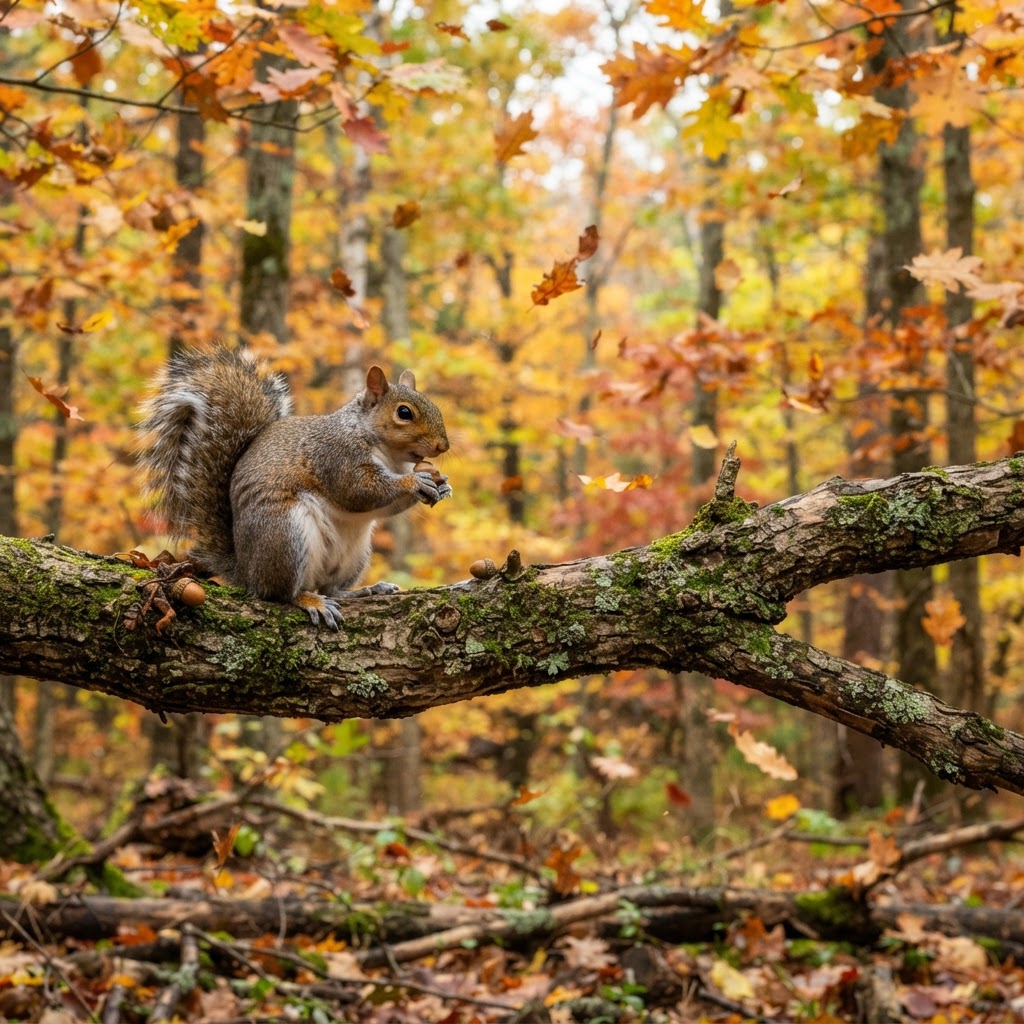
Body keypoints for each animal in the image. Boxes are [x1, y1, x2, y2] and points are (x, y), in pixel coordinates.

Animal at [137, 345, 451, 628]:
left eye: (435, 407)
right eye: (404, 413)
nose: (443, 446)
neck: (388, 454)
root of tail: (247, 572)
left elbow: (385, 507)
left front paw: (441, 486)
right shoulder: (335, 456)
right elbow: (358, 491)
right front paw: (415, 481)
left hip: (355, 554)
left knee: (332, 588)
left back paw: (366, 590)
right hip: (285, 534)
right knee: (280, 594)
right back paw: (309, 600)